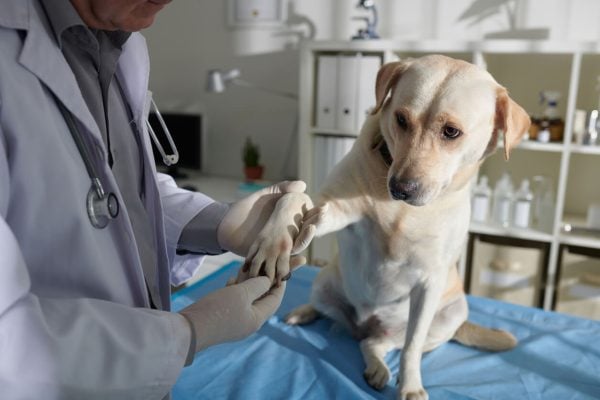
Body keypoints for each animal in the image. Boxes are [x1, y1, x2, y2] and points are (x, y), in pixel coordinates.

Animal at [243, 55, 528, 400]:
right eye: (401, 119)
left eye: (451, 131)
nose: (400, 188)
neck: (401, 211)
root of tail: (361, 326)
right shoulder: (332, 207)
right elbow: (292, 202)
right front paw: (273, 243)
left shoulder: (429, 282)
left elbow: (411, 347)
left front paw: (410, 386)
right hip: (324, 283)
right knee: (329, 311)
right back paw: (304, 312)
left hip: (452, 313)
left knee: (379, 344)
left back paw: (378, 366)